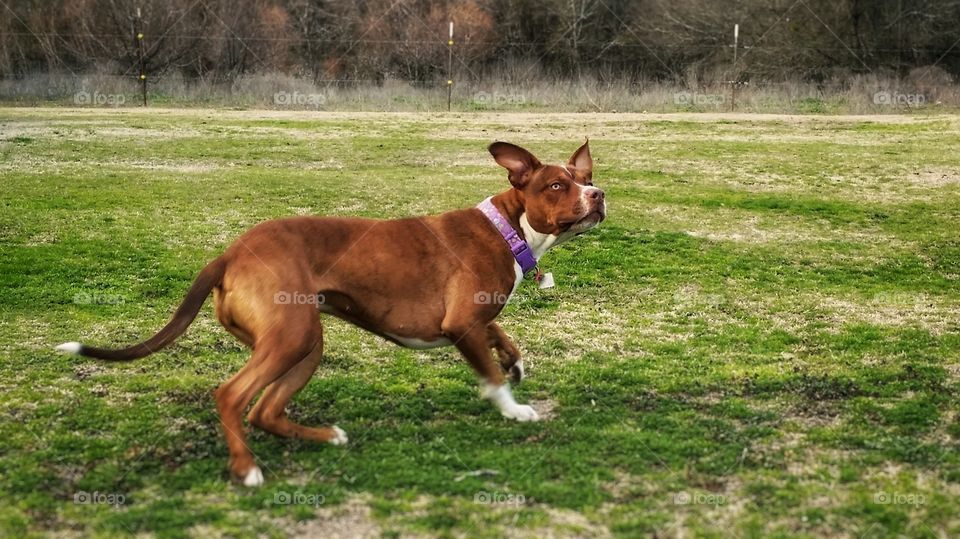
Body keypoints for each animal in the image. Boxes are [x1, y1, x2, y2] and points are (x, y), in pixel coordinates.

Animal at [56, 141, 604, 488]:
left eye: (587, 178)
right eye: (557, 185)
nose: (599, 195)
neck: (508, 228)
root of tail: (229, 254)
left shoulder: (473, 320)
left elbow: (502, 334)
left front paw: (516, 363)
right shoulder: (460, 325)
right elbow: (489, 374)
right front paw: (513, 407)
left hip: (304, 344)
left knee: (264, 410)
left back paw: (324, 437)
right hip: (293, 336)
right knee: (233, 396)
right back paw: (246, 469)